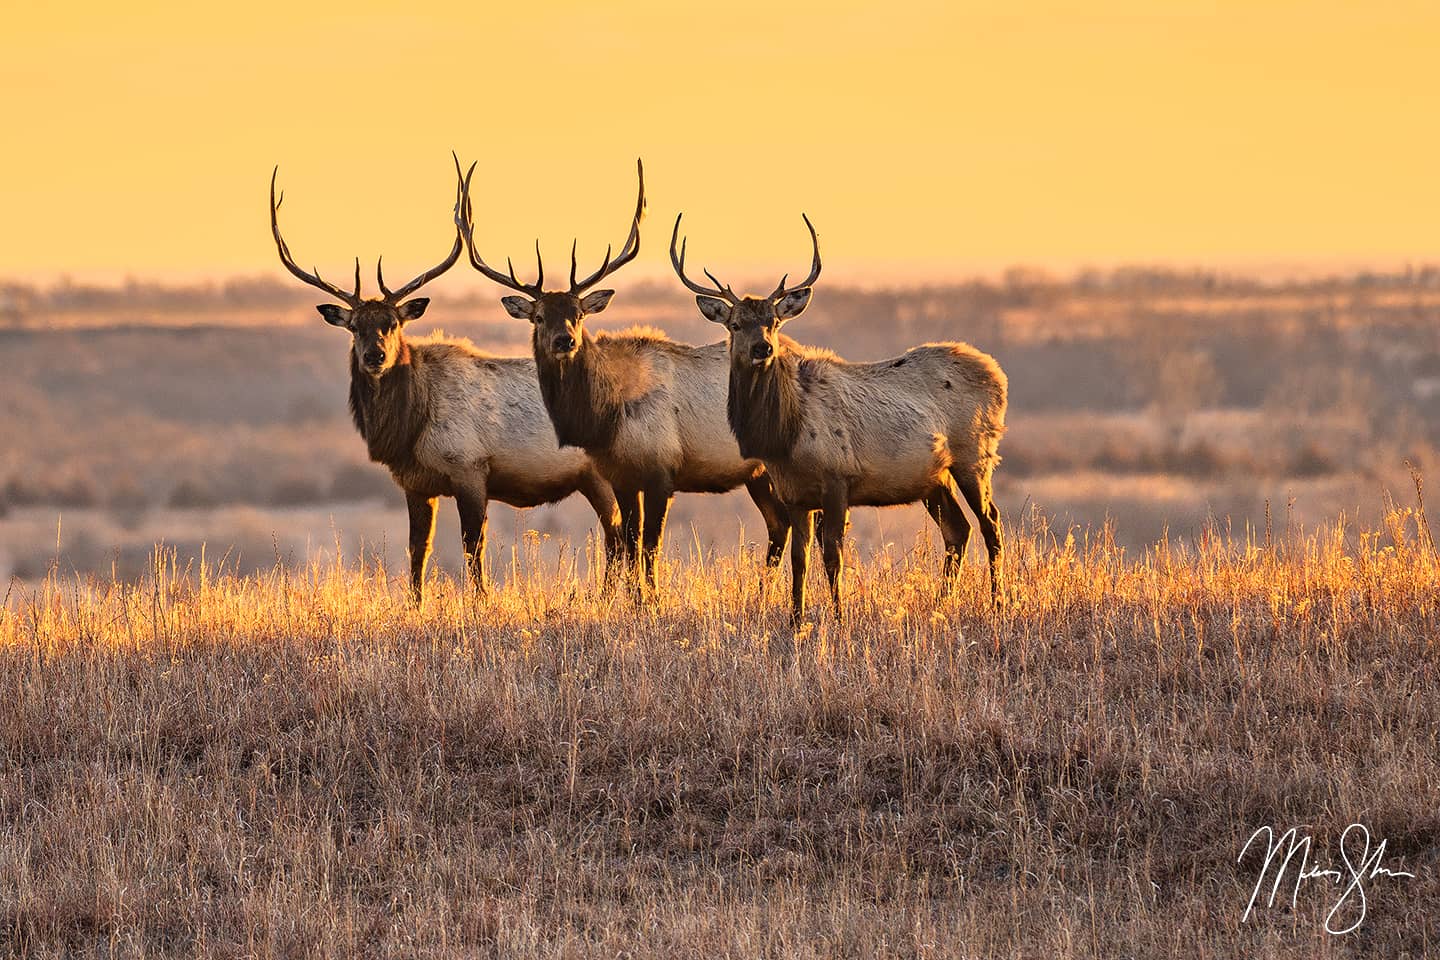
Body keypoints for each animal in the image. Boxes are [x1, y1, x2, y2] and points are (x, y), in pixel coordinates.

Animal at [270, 165, 619, 601]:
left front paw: (480, 601)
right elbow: (418, 547)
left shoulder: (469, 466)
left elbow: (473, 545)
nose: (375, 356)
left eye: (393, 324)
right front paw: (414, 604)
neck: (409, 428)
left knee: (619, 531)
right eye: (354, 327)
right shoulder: (415, 483)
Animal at [452, 158, 789, 592]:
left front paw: (652, 599)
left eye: (579, 314)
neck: (608, 419)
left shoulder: (663, 470)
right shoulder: (621, 477)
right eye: (539, 316)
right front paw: (633, 598)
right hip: (758, 472)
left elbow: (649, 546)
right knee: (781, 523)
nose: (564, 340)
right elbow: (629, 543)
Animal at [668, 211, 1008, 624]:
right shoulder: (794, 493)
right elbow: (799, 559)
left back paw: (998, 602)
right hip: (934, 477)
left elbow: (833, 556)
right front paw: (796, 618)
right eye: (735, 324)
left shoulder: (838, 478)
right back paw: (940, 605)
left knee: (991, 524)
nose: (762, 348)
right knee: (958, 530)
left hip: (975, 455)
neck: (785, 438)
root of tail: (997, 374)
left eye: (774, 322)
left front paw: (839, 615)